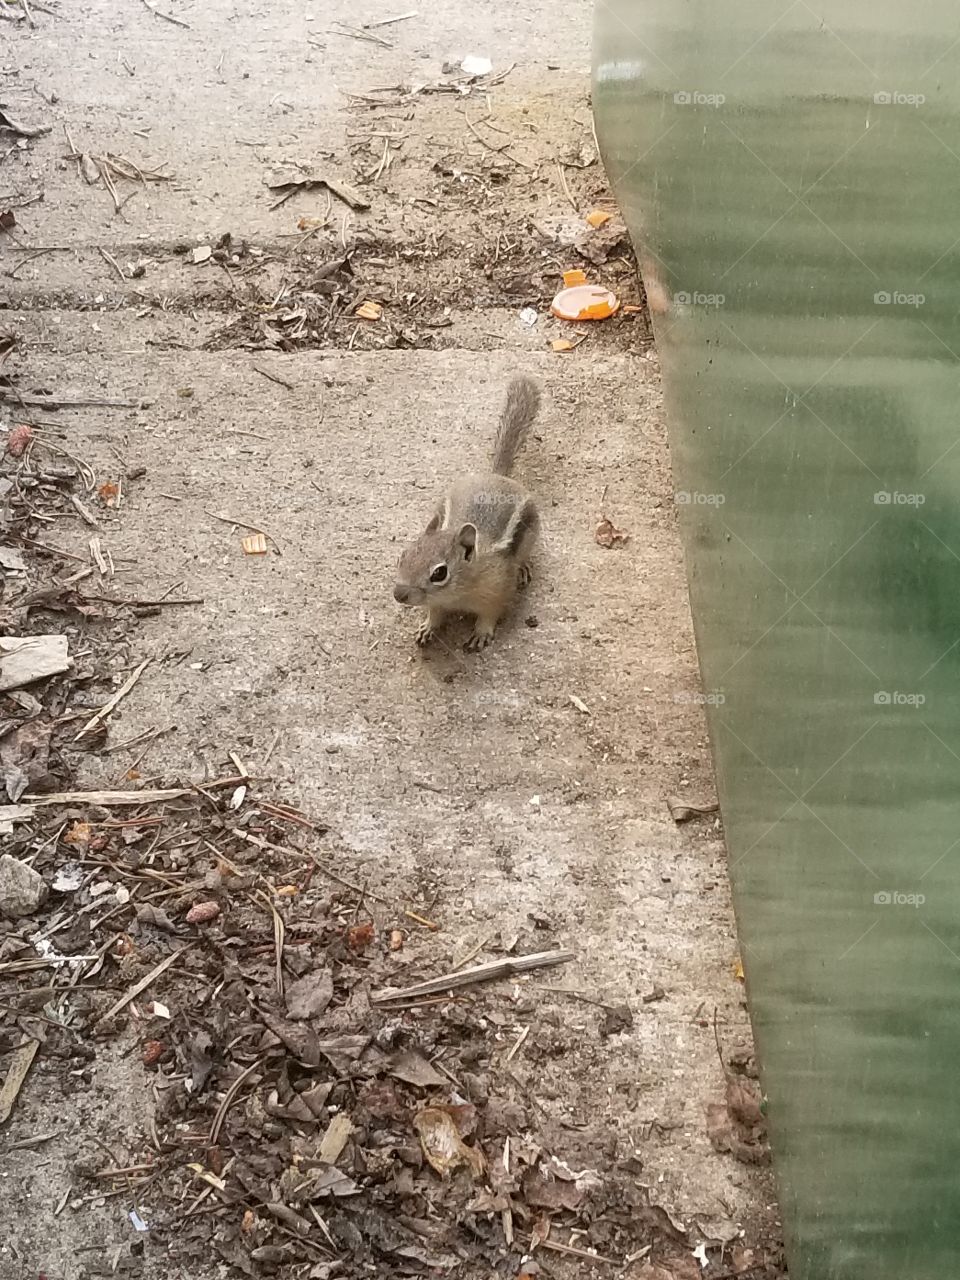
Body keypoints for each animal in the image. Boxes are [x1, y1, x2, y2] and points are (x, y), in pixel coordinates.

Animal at [393, 375, 541, 651]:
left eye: (439, 573)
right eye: (403, 555)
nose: (398, 594)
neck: (458, 592)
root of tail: (497, 475)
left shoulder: (497, 592)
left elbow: (490, 615)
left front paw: (481, 633)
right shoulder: (437, 602)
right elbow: (434, 614)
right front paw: (427, 628)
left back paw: (523, 567)